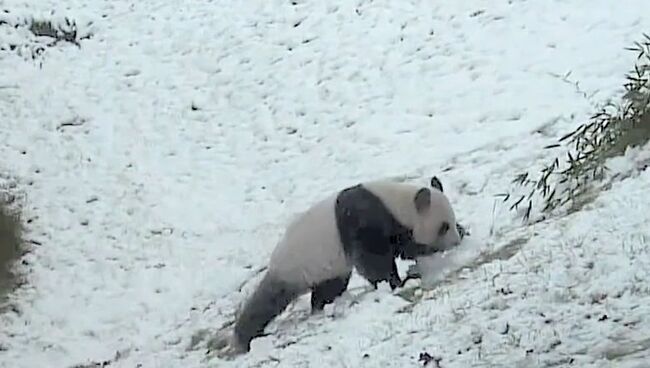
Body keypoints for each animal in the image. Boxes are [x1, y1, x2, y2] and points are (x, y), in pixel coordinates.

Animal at [216, 175, 460, 356]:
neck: (396, 202)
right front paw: (396, 282)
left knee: (329, 287)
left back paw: (323, 305)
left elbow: (406, 246)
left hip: (324, 268)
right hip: (295, 265)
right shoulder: (363, 220)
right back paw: (244, 338)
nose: (456, 242)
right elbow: (373, 259)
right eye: (443, 227)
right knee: (268, 300)